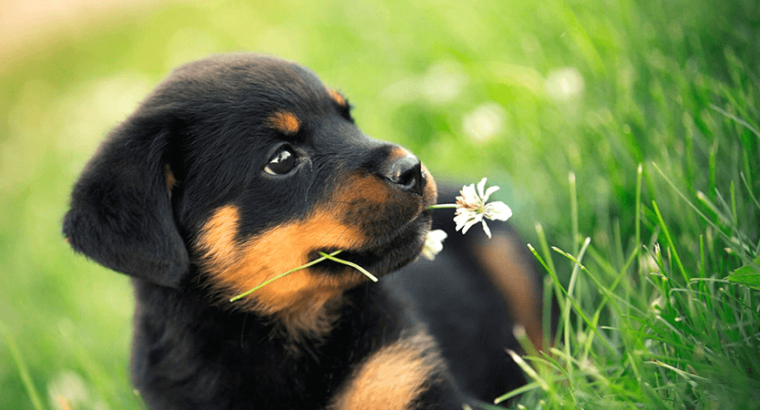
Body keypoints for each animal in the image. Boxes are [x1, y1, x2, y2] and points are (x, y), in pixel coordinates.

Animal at [62, 54, 544, 410]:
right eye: (282, 159)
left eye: (347, 117)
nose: (411, 168)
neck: (280, 332)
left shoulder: (411, 379)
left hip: (510, 255)